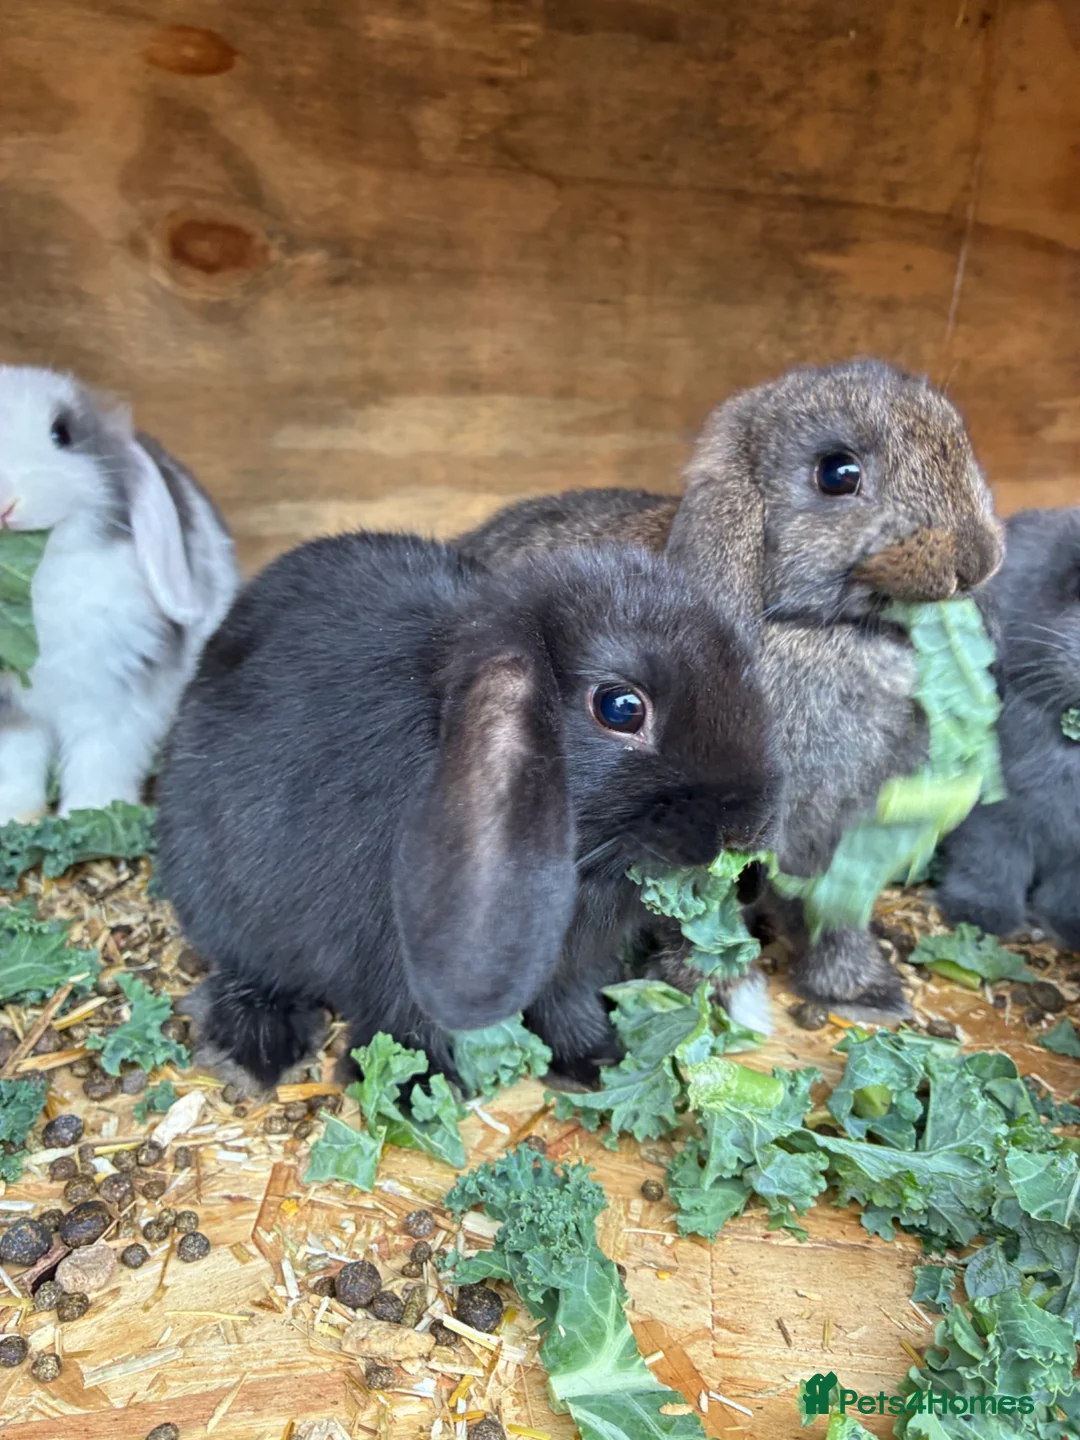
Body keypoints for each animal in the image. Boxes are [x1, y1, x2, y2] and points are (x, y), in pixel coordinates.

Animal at [0, 366, 239, 823]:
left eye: (62, 434)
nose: (5, 503)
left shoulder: (116, 701)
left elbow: (100, 761)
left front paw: (90, 811)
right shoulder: (12, 714)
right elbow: (16, 768)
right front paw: (15, 818)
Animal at [154, 530, 780, 1095]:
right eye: (620, 708)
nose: (745, 826)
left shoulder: (573, 966)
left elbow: (567, 1002)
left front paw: (595, 1062)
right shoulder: (394, 961)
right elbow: (403, 1026)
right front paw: (417, 1089)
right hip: (223, 902)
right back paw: (253, 1050)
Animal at [459, 358, 1005, 1021]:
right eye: (837, 473)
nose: (978, 560)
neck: (813, 628)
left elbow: (837, 912)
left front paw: (862, 992)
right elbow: (695, 913)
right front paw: (715, 991)